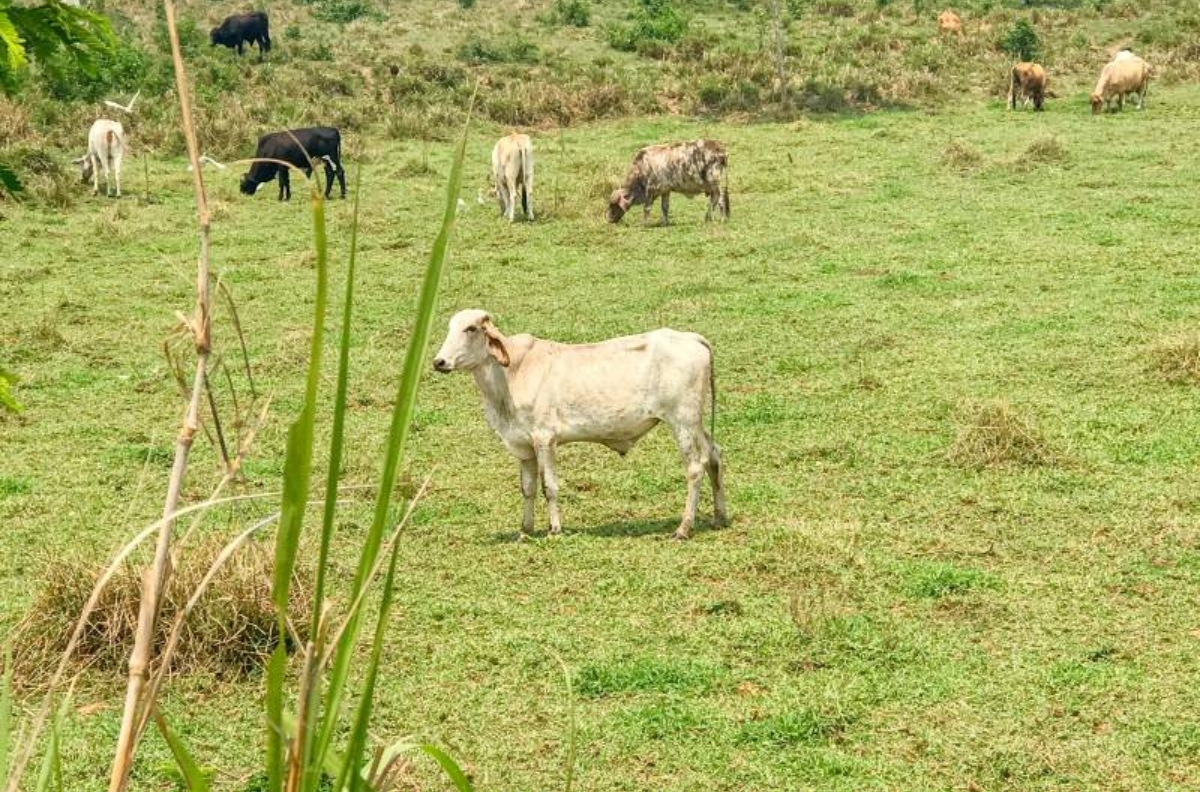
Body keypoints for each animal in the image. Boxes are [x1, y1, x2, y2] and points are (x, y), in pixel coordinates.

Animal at [434, 307, 724, 537]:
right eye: (449, 328)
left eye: (470, 328)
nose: (439, 361)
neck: (511, 374)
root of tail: (690, 337)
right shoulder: (522, 445)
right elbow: (527, 488)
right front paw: (525, 531)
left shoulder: (544, 438)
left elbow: (549, 486)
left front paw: (554, 530)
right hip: (696, 424)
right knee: (713, 455)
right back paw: (720, 517)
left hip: (683, 421)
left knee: (695, 467)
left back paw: (683, 528)